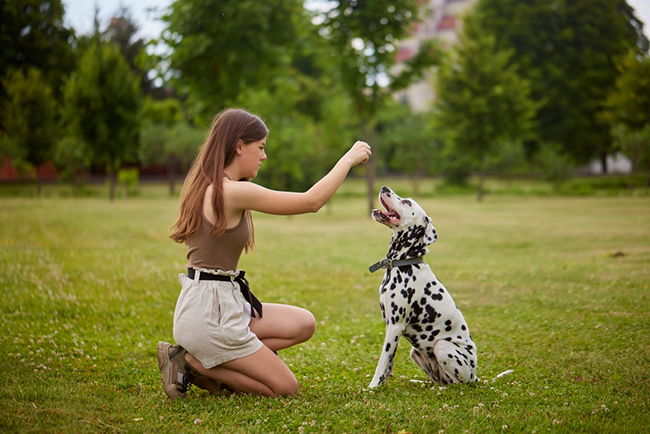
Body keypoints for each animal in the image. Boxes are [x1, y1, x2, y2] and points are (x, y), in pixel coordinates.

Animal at [368, 185, 478, 388]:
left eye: (407, 202)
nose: (384, 188)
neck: (405, 263)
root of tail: (475, 376)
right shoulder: (391, 327)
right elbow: (389, 362)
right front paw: (383, 384)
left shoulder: (395, 326)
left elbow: (382, 362)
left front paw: (372, 387)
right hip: (416, 353)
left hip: (442, 346)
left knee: (457, 384)